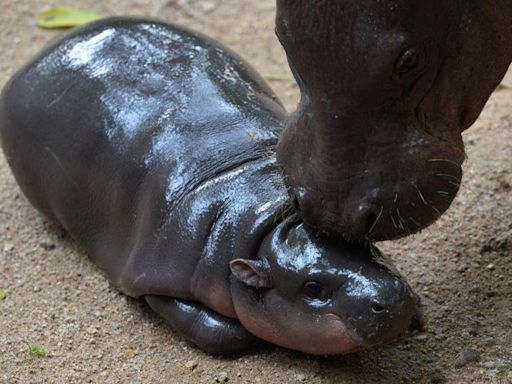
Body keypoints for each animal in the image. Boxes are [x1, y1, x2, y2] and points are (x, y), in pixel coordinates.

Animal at [0, 18, 420, 354]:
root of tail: (43, 55)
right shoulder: (157, 277)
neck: (264, 214)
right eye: (313, 288)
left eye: (367, 246)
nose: (390, 298)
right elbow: (217, 331)